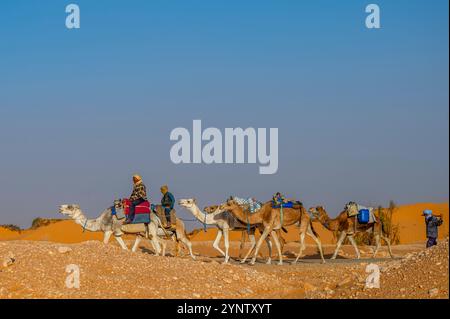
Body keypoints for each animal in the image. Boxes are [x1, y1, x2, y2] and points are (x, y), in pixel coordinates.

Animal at [57, 205, 193, 260]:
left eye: (69, 207)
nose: (60, 208)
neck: (99, 221)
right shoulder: (122, 233)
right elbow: (126, 248)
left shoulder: (109, 230)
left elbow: (105, 243)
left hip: (172, 231)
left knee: (183, 243)